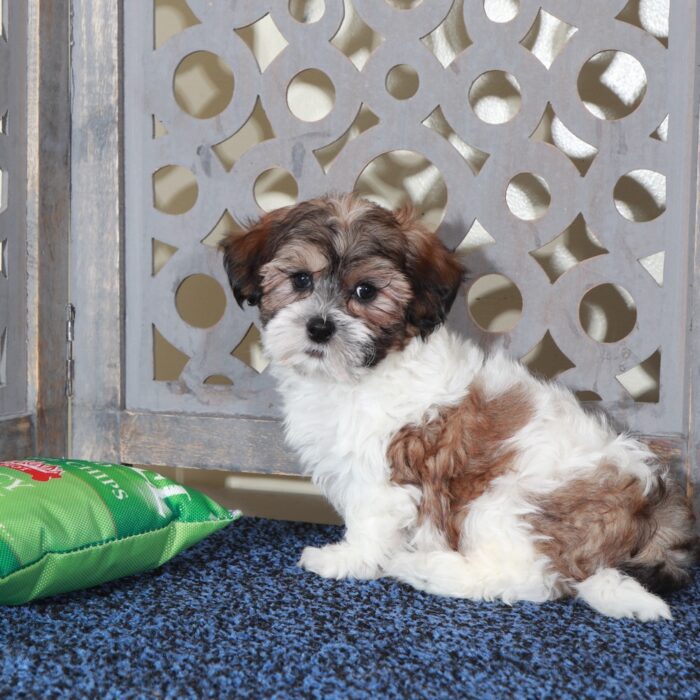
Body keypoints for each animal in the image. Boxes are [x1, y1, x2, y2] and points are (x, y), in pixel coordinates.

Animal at [221, 191, 696, 616]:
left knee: (529, 578)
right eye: (300, 280)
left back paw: (426, 568)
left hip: (502, 503)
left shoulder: (386, 472)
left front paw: (345, 559)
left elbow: (369, 520)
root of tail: (648, 509)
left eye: (366, 291)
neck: (360, 375)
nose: (319, 328)